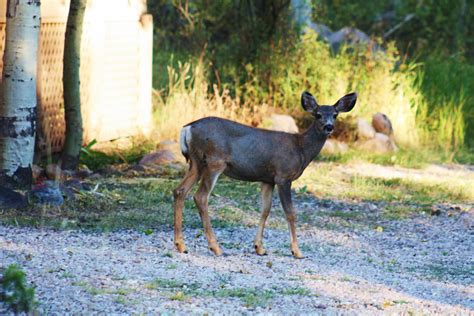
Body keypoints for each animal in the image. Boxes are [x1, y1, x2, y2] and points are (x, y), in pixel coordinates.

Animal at [173, 90, 356, 258]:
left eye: (335, 115)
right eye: (318, 115)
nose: (329, 127)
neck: (301, 150)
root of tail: (187, 128)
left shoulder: (268, 179)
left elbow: (265, 210)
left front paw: (259, 248)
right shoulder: (283, 175)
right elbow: (290, 213)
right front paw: (296, 251)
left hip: (196, 163)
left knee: (179, 191)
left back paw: (181, 245)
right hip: (215, 161)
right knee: (200, 196)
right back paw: (215, 248)